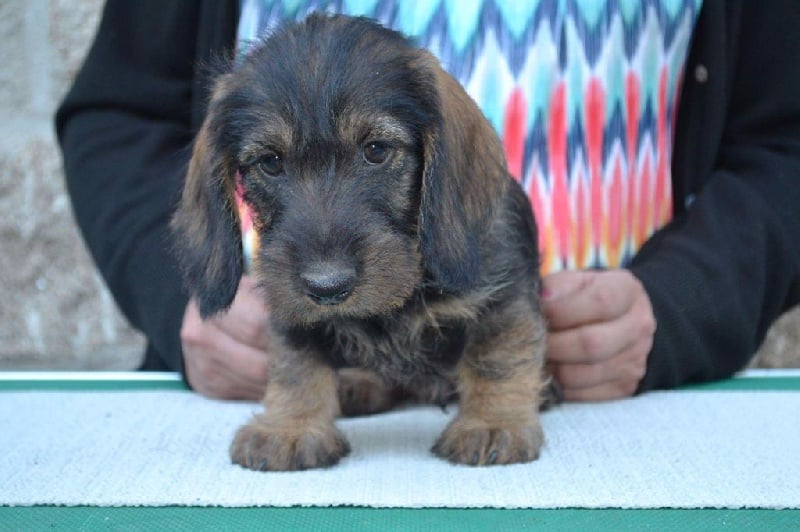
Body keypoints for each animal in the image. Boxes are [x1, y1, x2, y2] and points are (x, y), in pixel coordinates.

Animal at [172, 13, 549, 471]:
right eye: (271, 163)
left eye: (377, 150)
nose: (326, 286)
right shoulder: (291, 310)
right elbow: (296, 364)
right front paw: (290, 427)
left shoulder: (503, 295)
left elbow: (496, 357)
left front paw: (492, 422)